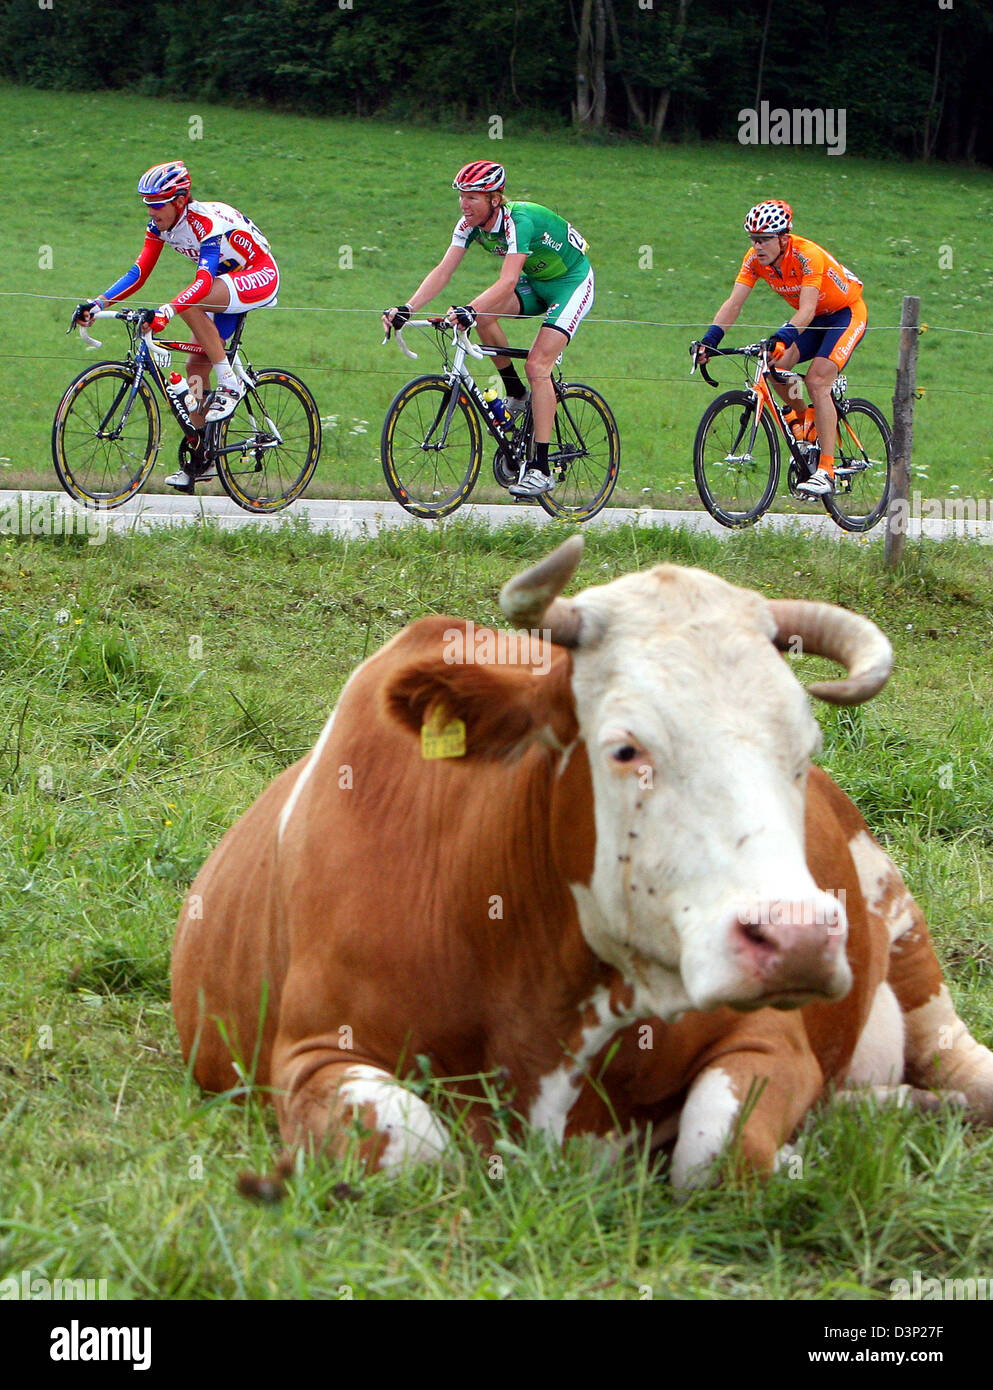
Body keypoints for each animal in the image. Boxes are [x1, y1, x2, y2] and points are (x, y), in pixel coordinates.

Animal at [172, 536, 993, 1187]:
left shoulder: (772, 1036)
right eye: (625, 748)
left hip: (901, 926)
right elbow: (413, 1150)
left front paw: (792, 1151)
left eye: (804, 747)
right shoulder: (309, 1055)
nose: (797, 938)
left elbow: (713, 1149)